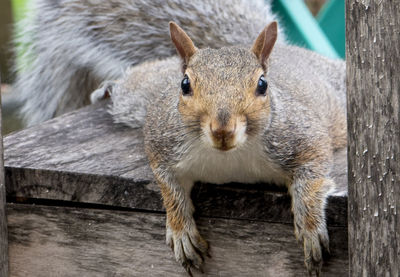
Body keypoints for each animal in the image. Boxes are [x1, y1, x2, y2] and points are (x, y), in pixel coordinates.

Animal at [94, 21, 346, 274]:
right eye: (185, 84)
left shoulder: (301, 137)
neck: (228, 158)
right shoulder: (162, 145)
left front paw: (310, 226)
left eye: (262, 84)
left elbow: (312, 174)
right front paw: (181, 231)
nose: (223, 130)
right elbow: (170, 189)